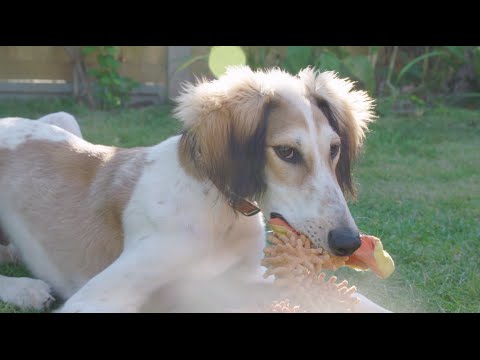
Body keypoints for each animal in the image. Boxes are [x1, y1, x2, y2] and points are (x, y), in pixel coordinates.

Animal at [0, 67, 388, 312]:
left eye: (334, 149)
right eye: (286, 152)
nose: (348, 242)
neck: (220, 210)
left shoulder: (245, 276)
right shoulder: (93, 299)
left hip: (63, 119)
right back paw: (25, 289)